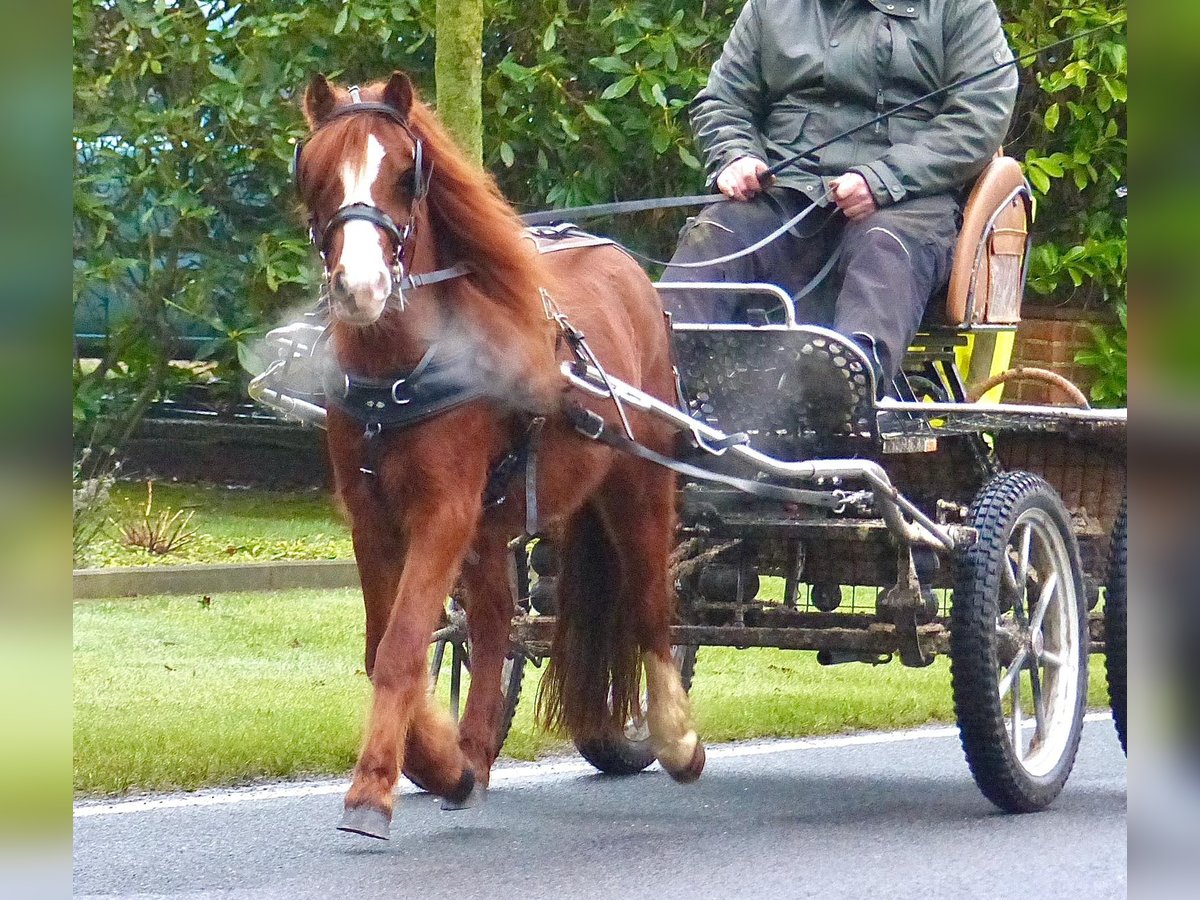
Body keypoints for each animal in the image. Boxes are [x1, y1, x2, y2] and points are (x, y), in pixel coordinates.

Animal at [292, 70, 700, 840]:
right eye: (317, 173)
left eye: (405, 174)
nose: (360, 288)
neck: (402, 367)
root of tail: (626, 265)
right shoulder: (373, 516)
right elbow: (391, 642)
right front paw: (434, 759)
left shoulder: (444, 511)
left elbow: (400, 648)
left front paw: (372, 788)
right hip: (493, 523)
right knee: (490, 623)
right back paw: (472, 758)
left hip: (639, 479)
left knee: (650, 603)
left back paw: (676, 739)